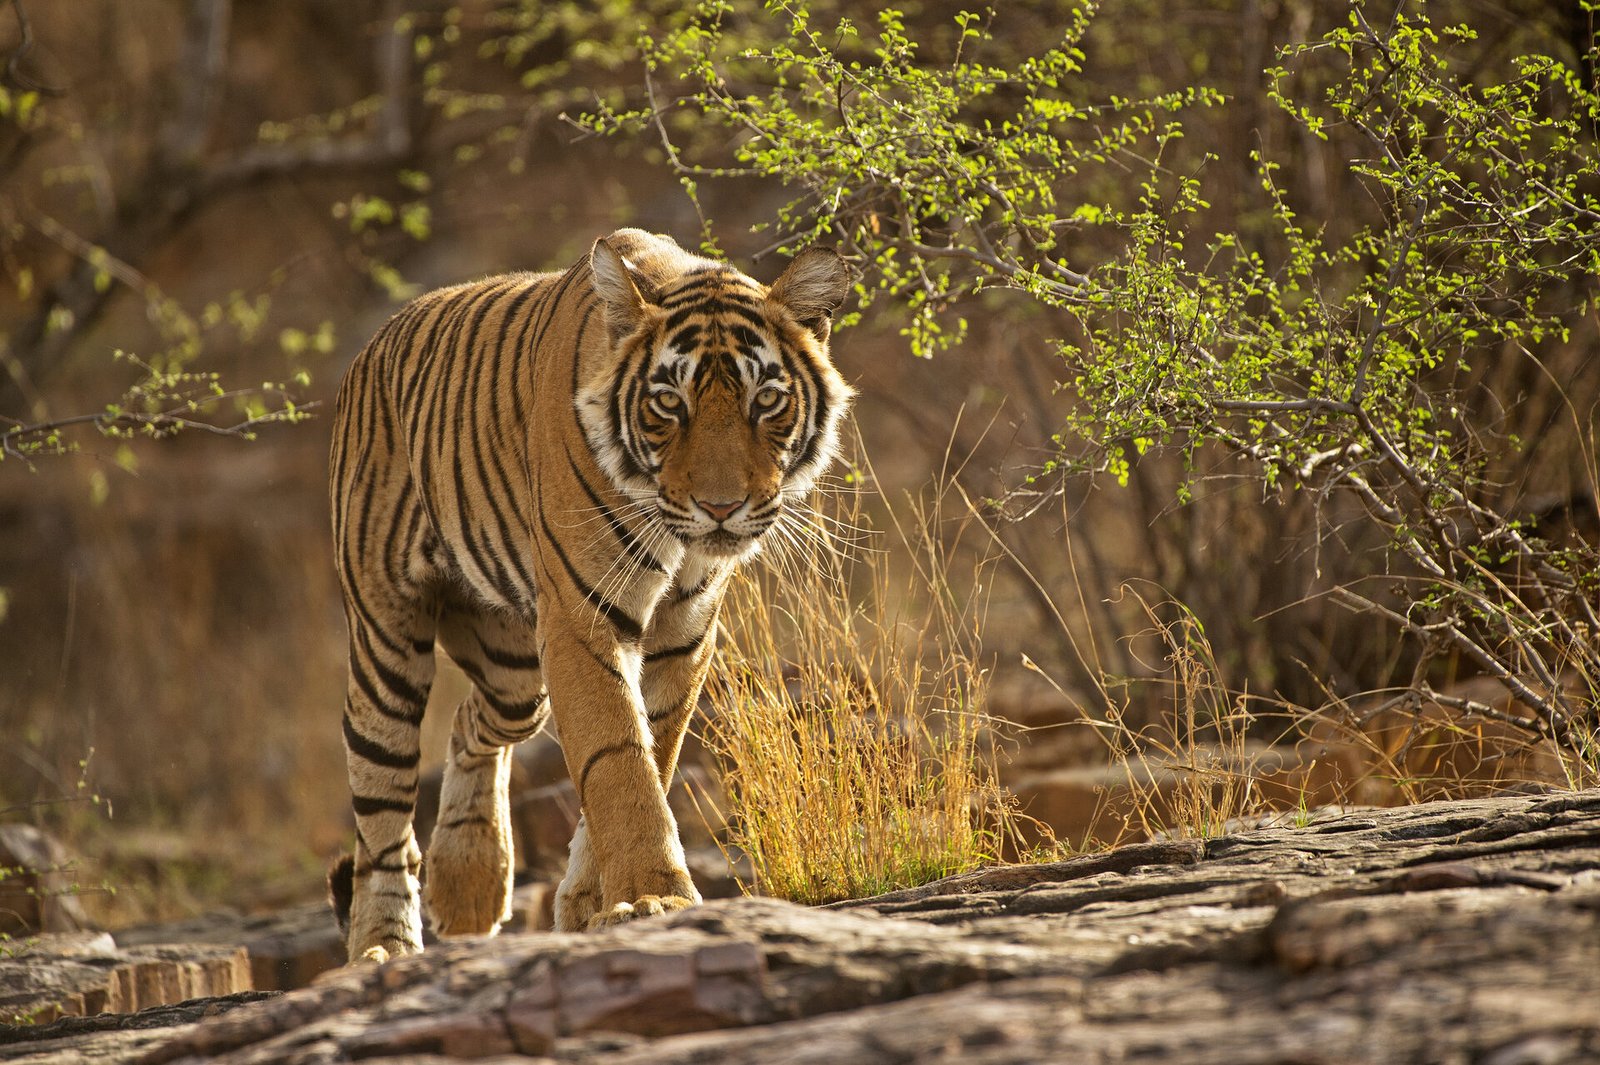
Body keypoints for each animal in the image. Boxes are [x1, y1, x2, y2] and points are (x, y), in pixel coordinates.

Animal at [326, 228, 854, 963]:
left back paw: (469, 880)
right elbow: (618, 760)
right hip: (387, 645)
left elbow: (651, 754)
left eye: (766, 401)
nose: (721, 508)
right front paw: (655, 897)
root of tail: (369, 348)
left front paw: (591, 903)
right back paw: (383, 946)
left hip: (516, 672)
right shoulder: (582, 618)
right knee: (381, 816)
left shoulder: (685, 631)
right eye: (670, 404)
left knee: (471, 725)